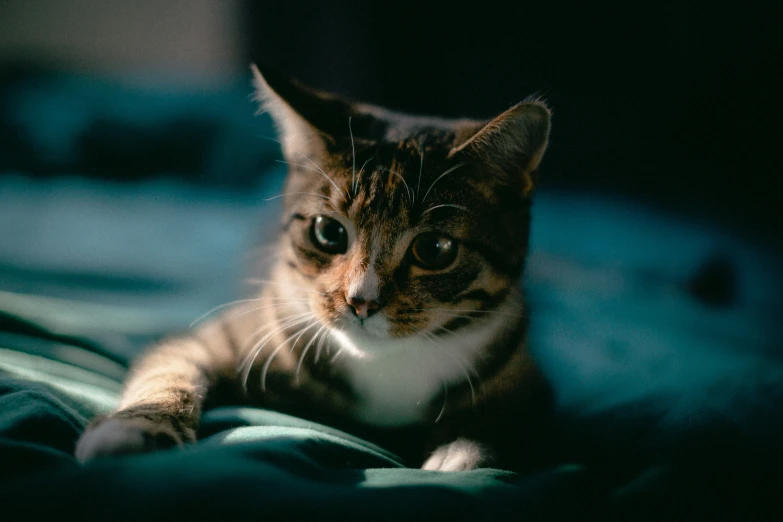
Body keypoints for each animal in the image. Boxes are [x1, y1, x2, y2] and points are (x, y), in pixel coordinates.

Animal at [72, 63, 552, 470]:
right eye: (328, 232)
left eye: (434, 249)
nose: (361, 301)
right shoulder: (222, 336)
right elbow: (169, 369)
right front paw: (132, 429)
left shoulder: (529, 381)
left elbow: (513, 420)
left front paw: (462, 452)